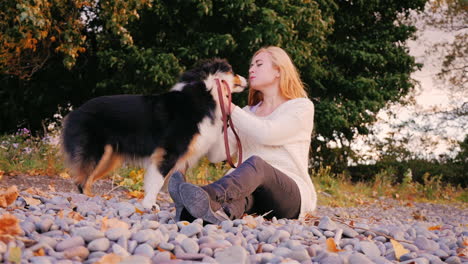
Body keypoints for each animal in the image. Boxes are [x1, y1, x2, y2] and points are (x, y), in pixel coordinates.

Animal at [61, 59, 249, 208]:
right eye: (232, 71)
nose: (246, 79)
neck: (206, 94)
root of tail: (74, 112)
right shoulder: (169, 151)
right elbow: (158, 180)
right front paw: (149, 204)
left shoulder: (181, 158)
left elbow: (175, 182)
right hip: (98, 152)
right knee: (81, 181)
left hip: (110, 157)